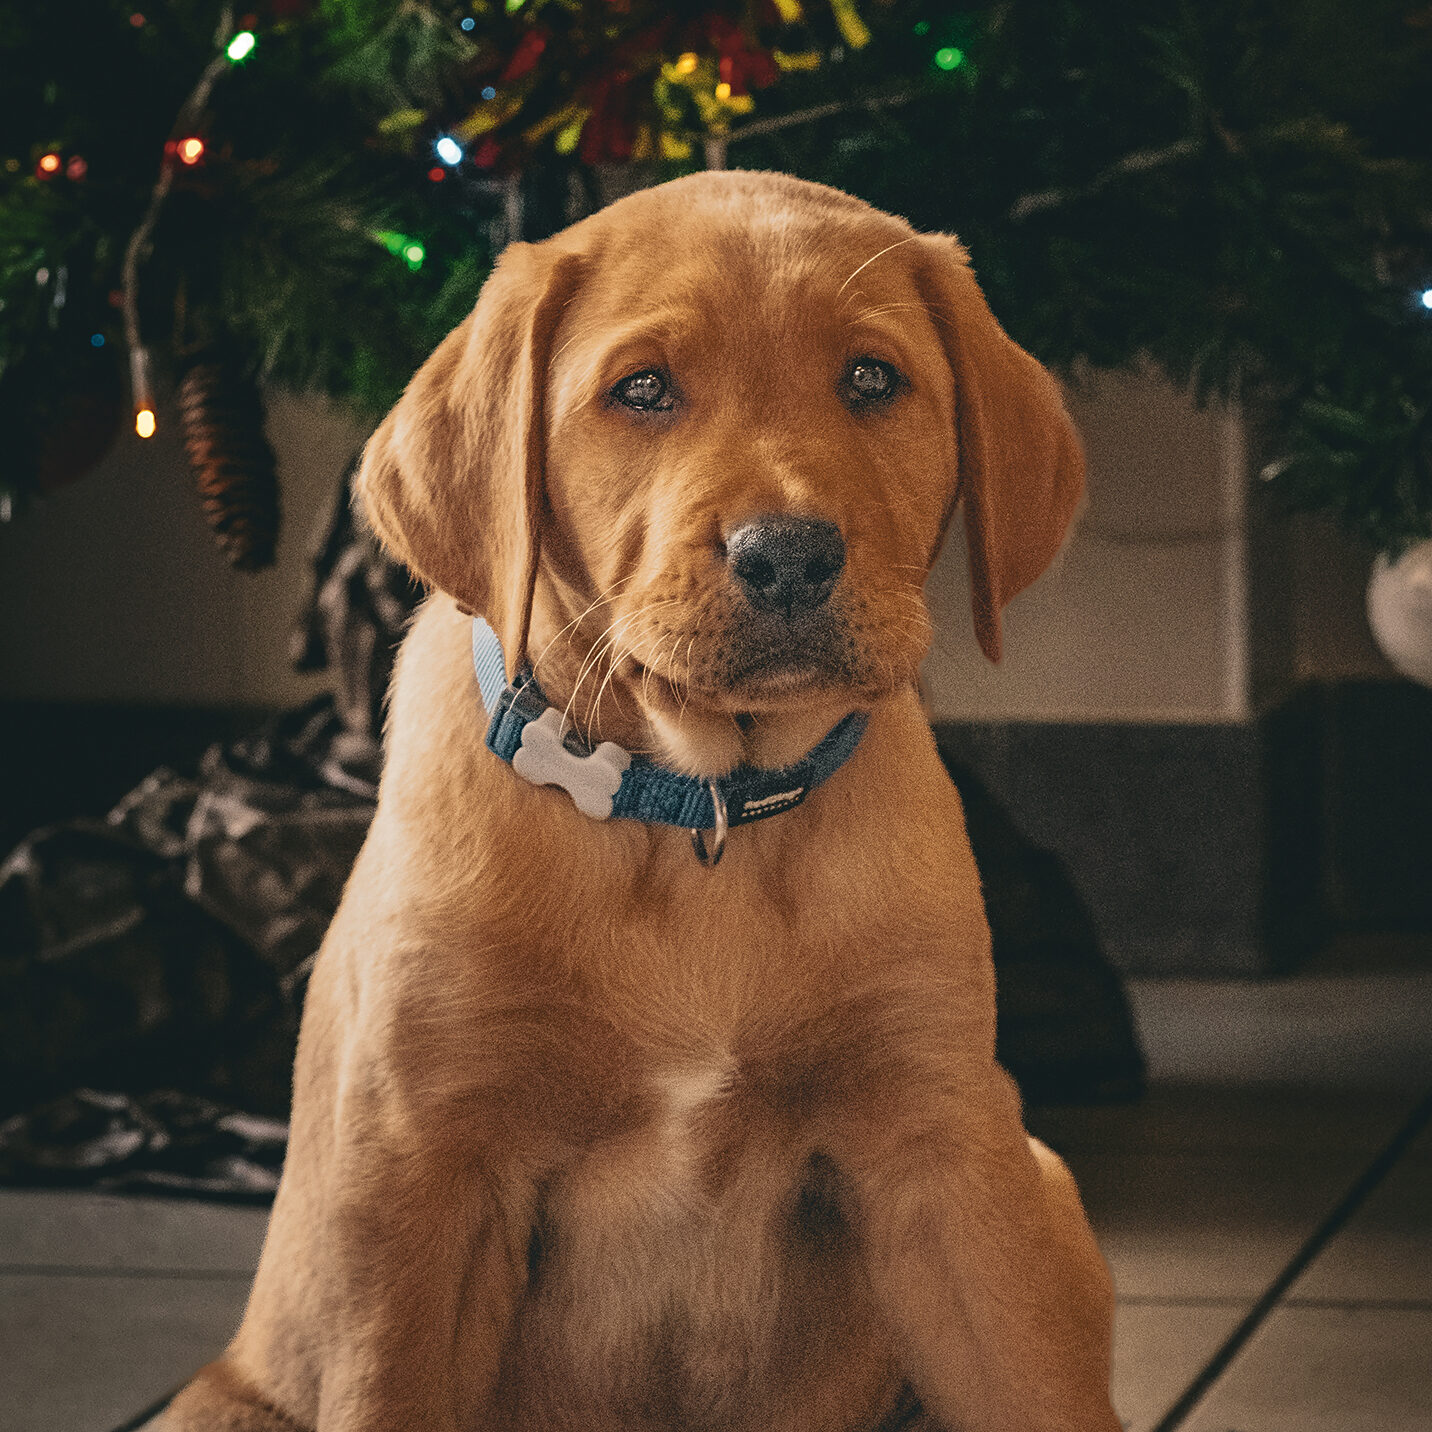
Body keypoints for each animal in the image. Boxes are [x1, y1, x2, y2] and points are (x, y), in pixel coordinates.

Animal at [159, 170, 1116, 1432]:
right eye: (643, 389)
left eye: (871, 379)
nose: (788, 554)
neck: (698, 810)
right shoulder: (420, 1179)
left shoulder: (946, 1151)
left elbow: (1036, 1385)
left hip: (1044, 1178)